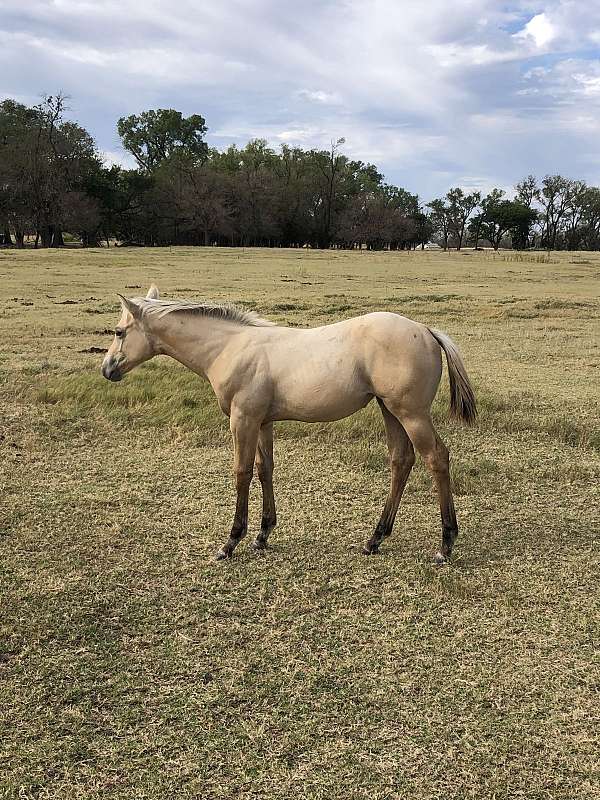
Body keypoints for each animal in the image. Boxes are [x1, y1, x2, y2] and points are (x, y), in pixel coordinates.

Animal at [103, 286, 478, 564]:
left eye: (120, 332)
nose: (107, 369)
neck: (229, 347)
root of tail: (425, 330)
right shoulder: (262, 422)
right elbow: (264, 469)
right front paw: (263, 534)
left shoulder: (242, 420)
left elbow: (242, 473)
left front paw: (231, 542)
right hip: (390, 410)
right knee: (401, 460)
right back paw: (375, 539)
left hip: (411, 413)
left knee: (436, 459)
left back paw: (445, 544)